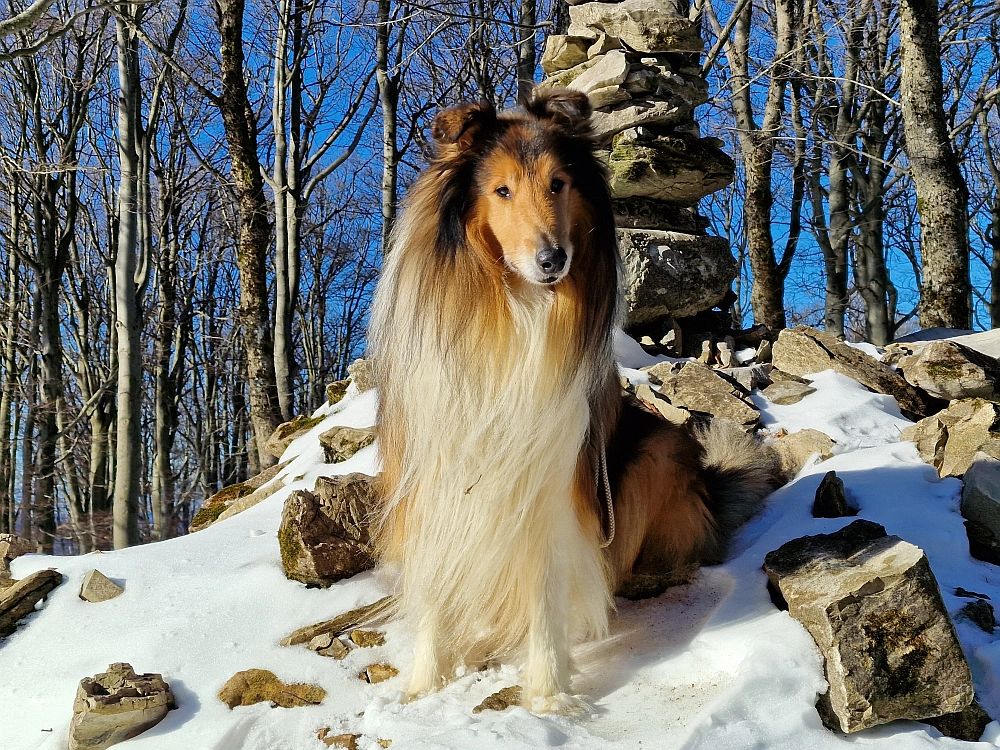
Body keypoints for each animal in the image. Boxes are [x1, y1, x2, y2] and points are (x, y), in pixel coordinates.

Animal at [372, 89, 776, 716]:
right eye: (502, 190)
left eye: (558, 183)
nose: (552, 260)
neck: (513, 310)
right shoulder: (436, 466)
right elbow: (438, 583)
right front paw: (423, 686)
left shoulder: (550, 479)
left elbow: (544, 589)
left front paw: (548, 695)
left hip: (658, 449)